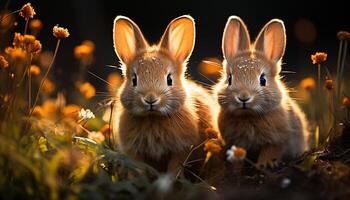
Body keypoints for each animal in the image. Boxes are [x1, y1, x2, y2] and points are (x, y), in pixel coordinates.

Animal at [112, 15, 217, 173]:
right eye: (134, 80)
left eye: (169, 79)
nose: (150, 99)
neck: (153, 118)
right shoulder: (134, 152)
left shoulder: (181, 149)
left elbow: (174, 166)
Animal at [213, 16, 308, 168]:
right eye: (229, 79)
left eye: (263, 80)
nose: (243, 97)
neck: (248, 116)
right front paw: (235, 169)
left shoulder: (277, 140)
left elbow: (270, 151)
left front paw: (265, 164)